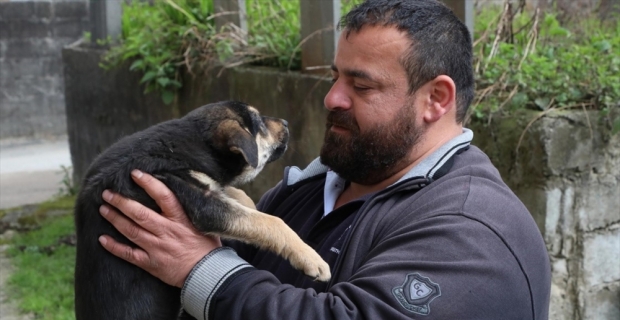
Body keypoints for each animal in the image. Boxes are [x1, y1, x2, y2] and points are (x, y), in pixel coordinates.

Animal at [74, 100, 330, 320]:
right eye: (259, 123)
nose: (285, 122)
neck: (193, 143)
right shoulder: (198, 199)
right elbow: (270, 221)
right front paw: (312, 259)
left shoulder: (209, 187)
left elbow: (238, 195)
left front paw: (251, 205)